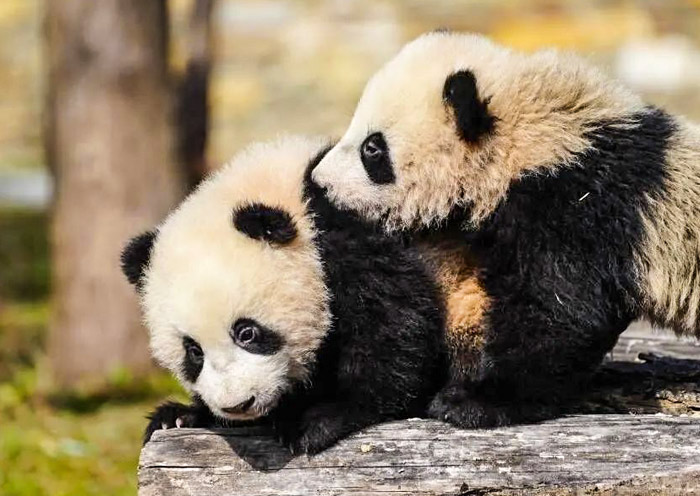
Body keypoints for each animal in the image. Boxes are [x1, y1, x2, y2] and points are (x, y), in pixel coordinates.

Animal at [120, 136, 446, 454]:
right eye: (193, 351)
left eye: (247, 332)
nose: (238, 405)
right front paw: (178, 417)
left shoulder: (348, 238)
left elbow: (394, 323)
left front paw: (317, 418)